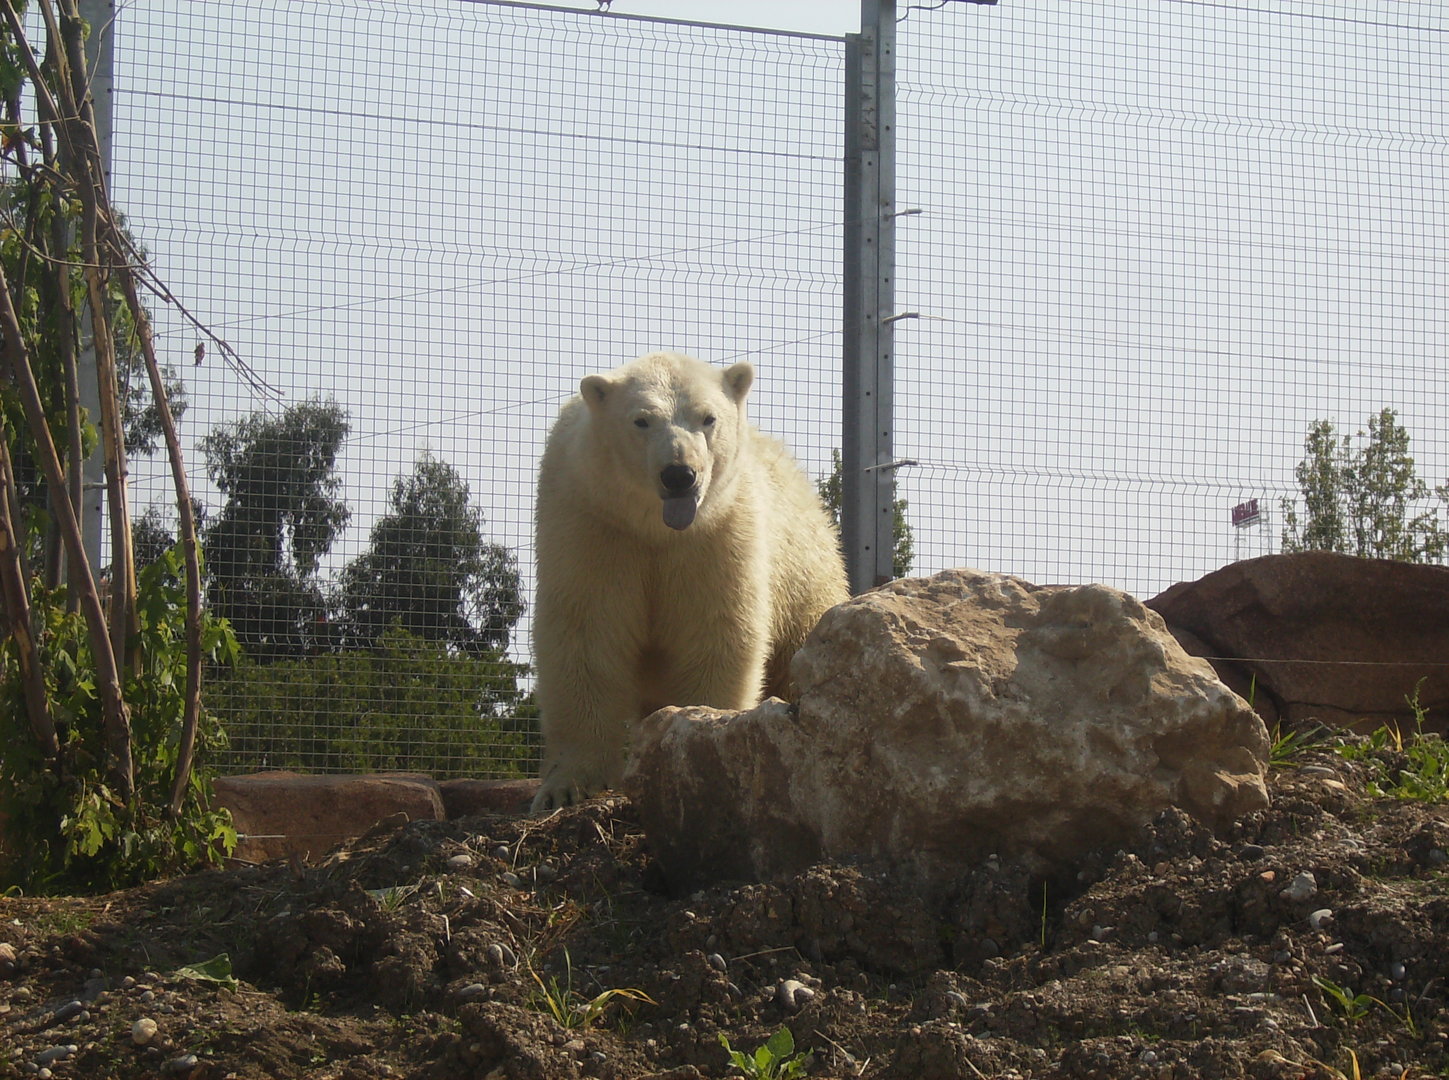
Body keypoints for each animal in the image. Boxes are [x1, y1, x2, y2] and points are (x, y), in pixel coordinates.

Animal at [529, 351, 849, 813]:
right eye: (642, 420)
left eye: (708, 417)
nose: (679, 473)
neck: (655, 528)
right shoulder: (594, 524)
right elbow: (585, 633)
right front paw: (567, 785)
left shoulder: (716, 534)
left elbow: (714, 632)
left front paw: (702, 742)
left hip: (804, 573)